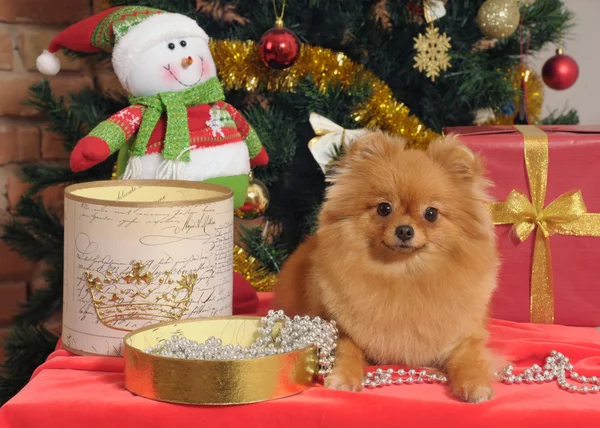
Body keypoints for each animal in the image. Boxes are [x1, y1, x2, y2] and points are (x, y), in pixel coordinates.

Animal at [274, 132, 500, 402]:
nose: (404, 230)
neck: (403, 274)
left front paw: (476, 384)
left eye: (431, 213)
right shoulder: (341, 330)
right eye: (384, 208)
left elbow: (469, 358)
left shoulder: (464, 336)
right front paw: (343, 377)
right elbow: (347, 351)